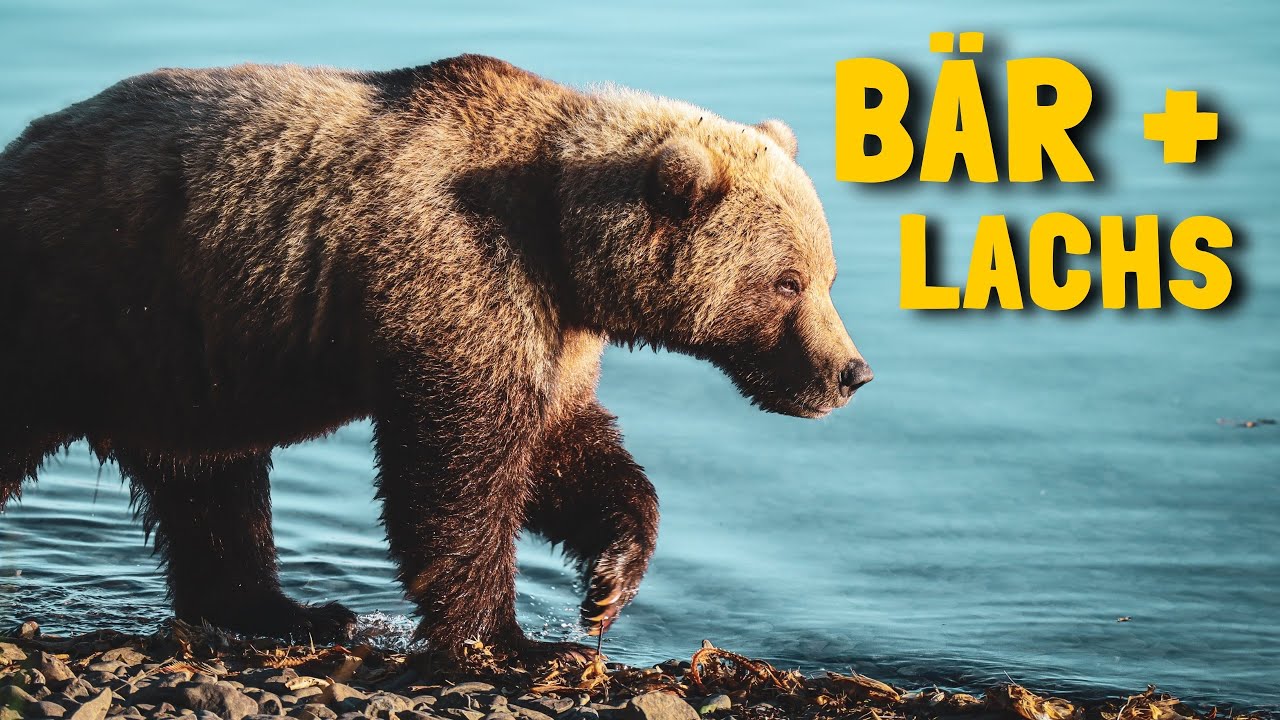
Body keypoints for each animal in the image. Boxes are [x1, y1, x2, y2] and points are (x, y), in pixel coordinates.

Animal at [0, 55, 872, 660]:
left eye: (826, 274)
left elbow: (563, 452)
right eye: (787, 282)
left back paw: (294, 612)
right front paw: (513, 639)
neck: (563, 239)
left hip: (180, 361)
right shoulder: (459, 276)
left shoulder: (552, 330)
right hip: (76, 305)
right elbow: (458, 470)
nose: (850, 373)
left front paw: (607, 584)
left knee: (212, 488)